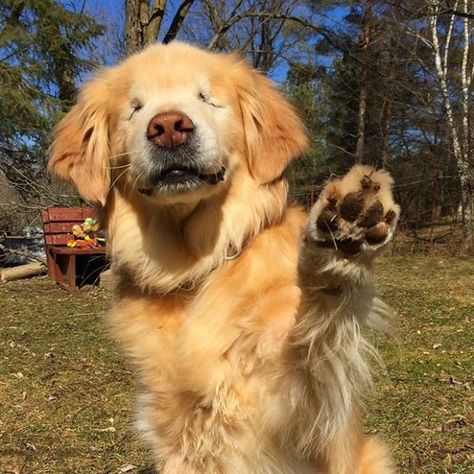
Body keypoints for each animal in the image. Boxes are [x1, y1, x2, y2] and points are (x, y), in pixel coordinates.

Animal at [50, 42, 400, 472]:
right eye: (135, 108)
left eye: (207, 98)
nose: (168, 126)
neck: (196, 266)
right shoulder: (179, 444)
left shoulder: (303, 409)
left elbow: (318, 327)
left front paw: (341, 244)